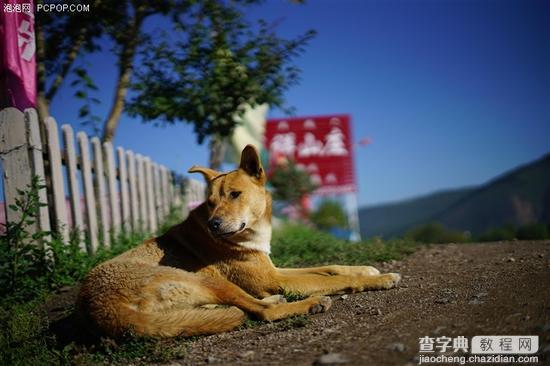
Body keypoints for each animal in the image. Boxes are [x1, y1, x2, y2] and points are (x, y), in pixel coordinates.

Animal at [76, 145, 402, 338]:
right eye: (210, 203)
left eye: (234, 194)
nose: (213, 225)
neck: (251, 234)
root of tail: (102, 308)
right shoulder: (274, 279)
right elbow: (331, 280)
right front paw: (380, 278)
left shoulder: (273, 271)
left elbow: (330, 267)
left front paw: (365, 268)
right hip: (207, 279)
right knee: (262, 312)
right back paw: (309, 304)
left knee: (241, 306)